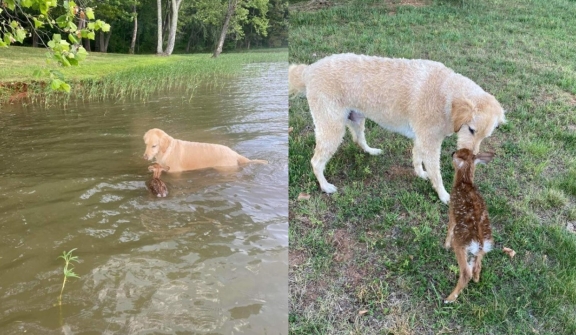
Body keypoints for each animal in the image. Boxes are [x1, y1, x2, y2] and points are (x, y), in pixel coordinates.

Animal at [288, 53, 504, 203]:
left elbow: (417, 157)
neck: (446, 94)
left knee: (358, 140)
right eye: (471, 130)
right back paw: (325, 186)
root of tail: (309, 70)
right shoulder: (430, 143)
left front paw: (420, 174)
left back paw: (371, 151)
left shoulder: (421, 138)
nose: (472, 158)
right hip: (332, 129)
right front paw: (444, 195)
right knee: (316, 162)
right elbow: (437, 173)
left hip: (356, 118)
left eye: (485, 136)